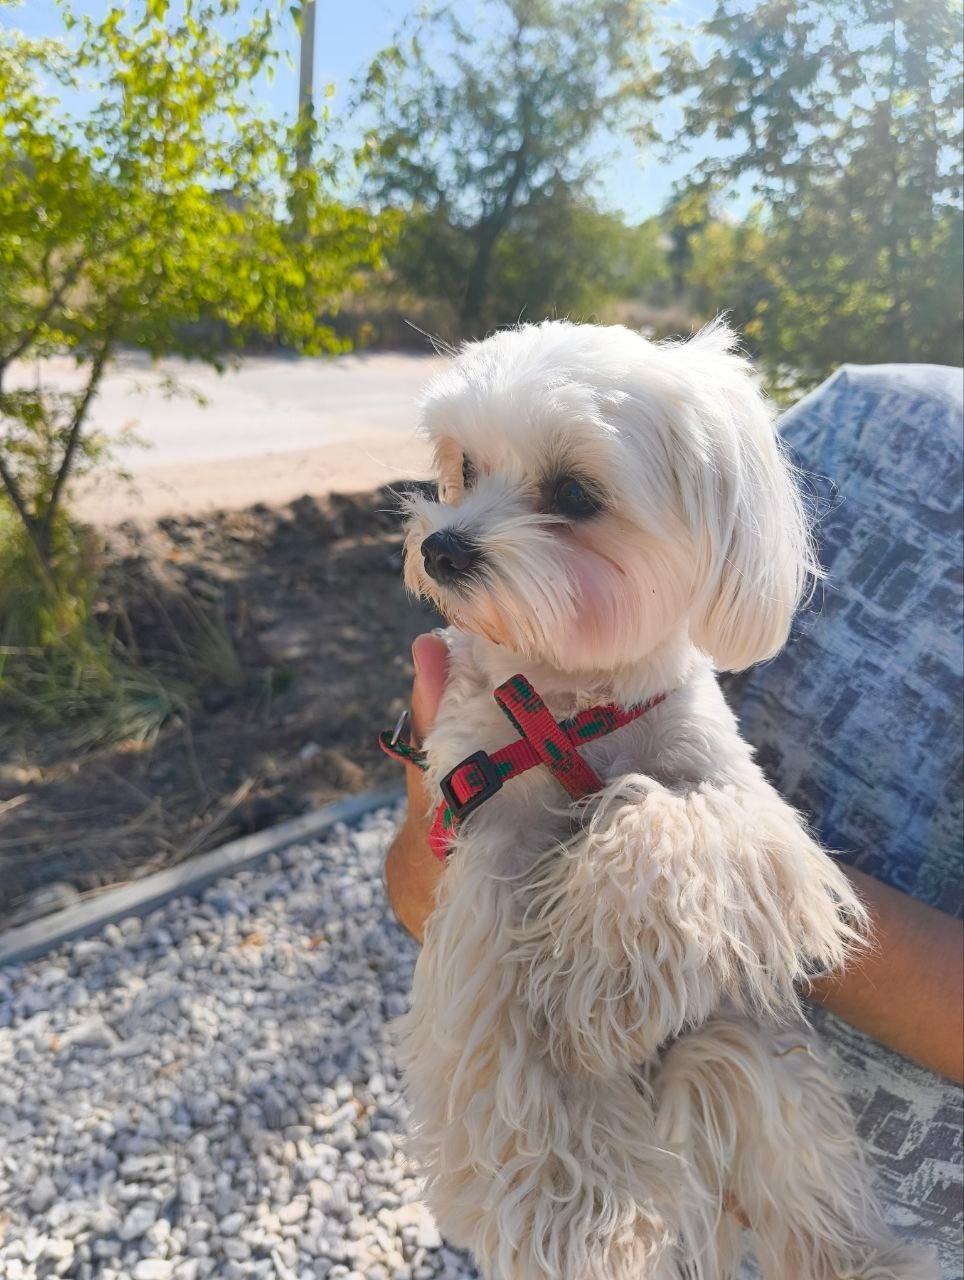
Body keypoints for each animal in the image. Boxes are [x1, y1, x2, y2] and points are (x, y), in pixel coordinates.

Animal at [394, 320, 938, 1279]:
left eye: (574, 493)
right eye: (464, 465)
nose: (442, 548)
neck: (574, 710)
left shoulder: (741, 798)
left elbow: (663, 820)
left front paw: (598, 990)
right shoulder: (487, 828)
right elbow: (509, 1026)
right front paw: (580, 1213)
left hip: (760, 1053)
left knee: (803, 1180)